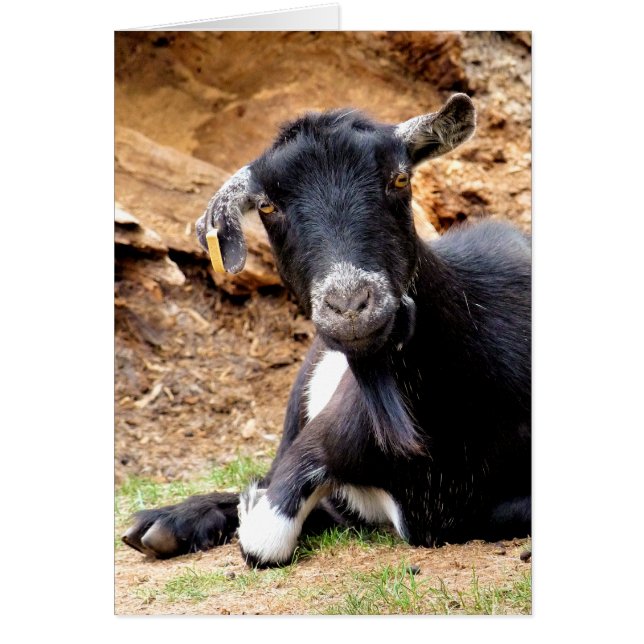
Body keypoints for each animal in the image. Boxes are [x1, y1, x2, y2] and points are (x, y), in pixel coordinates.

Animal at [122, 94, 531, 567]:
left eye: (399, 178)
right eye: (267, 206)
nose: (350, 306)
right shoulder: (318, 441)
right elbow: (266, 534)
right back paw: (164, 523)